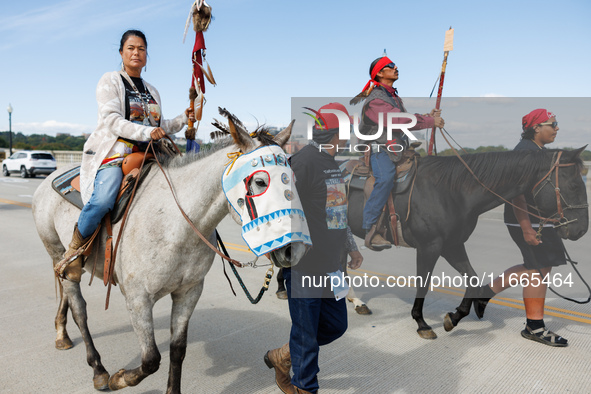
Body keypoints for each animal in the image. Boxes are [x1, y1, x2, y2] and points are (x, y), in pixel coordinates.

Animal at [31, 115, 308, 392]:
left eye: (294, 179)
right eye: (260, 182)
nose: (293, 249)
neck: (176, 224)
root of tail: (49, 178)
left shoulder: (189, 292)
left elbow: (177, 350)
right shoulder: (138, 298)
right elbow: (151, 359)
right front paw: (120, 378)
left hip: (65, 262)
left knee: (67, 289)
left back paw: (62, 334)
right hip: (56, 249)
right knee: (79, 308)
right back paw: (98, 369)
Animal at [350, 148, 588, 338]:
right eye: (575, 185)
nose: (582, 230)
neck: (450, 191)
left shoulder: (452, 245)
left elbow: (473, 281)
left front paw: (455, 317)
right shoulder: (429, 247)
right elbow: (423, 284)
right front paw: (422, 323)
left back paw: (358, 303)